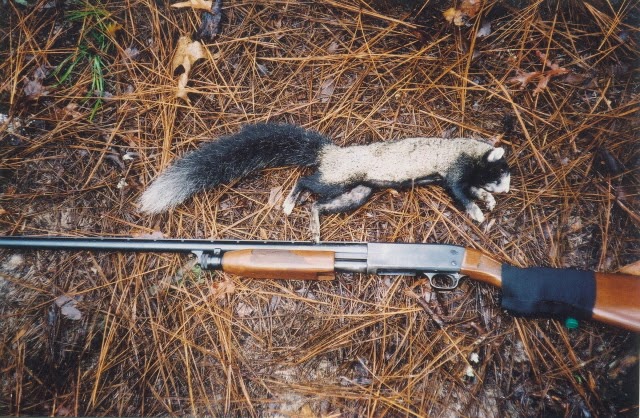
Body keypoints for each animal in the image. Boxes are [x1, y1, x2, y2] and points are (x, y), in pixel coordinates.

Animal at [138, 123, 511, 241]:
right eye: (499, 174)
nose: (506, 190)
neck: (467, 149)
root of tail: (330, 153)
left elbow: (470, 190)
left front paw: (488, 201)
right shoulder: (454, 169)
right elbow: (460, 192)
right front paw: (478, 211)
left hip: (358, 192)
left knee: (320, 203)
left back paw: (314, 225)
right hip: (338, 179)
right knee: (307, 182)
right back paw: (290, 203)